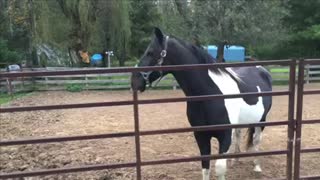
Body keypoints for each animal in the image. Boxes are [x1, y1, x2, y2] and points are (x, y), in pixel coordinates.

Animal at [131, 28, 272, 180]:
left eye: (150, 52)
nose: (134, 81)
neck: (209, 95)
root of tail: (261, 70)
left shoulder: (225, 136)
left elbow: (220, 168)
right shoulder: (201, 136)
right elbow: (205, 166)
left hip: (261, 121)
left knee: (256, 140)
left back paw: (257, 166)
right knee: (239, 135)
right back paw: (235, 160)